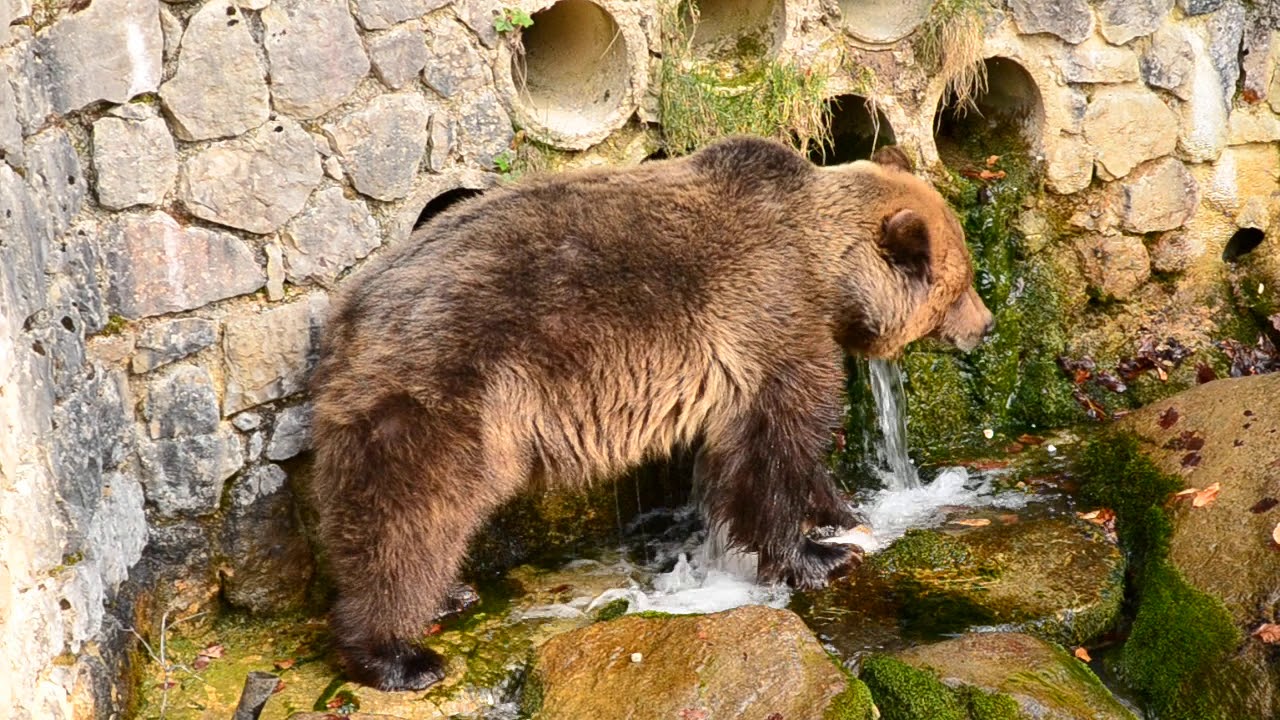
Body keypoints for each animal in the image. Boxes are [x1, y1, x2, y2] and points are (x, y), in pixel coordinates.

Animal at [307, 136, 994, 691]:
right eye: (958, 286)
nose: (985, 326)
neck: (826, 275)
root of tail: (351, 310)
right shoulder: (769, 325)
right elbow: (772, 451)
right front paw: (818, 557)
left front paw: (842, 513)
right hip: (448, 393)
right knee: (410, 516)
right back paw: (400, 654)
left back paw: (450, 594)